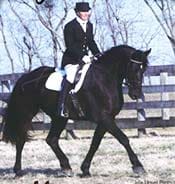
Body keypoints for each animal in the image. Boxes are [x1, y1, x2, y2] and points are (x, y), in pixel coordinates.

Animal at [2, 44, 150, 177]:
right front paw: (138, 167)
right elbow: (123, 139)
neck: (104, 78)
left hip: (59, 117)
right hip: (26, 113)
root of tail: (25, 78)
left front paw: (85, 169)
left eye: (143, 69)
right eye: (133, 68)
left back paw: (66, 168)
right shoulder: (104, 118)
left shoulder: (106, 119)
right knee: (21, 139)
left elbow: (95, 144)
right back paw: (18, 171)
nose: (136, 94)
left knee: (51, 140)